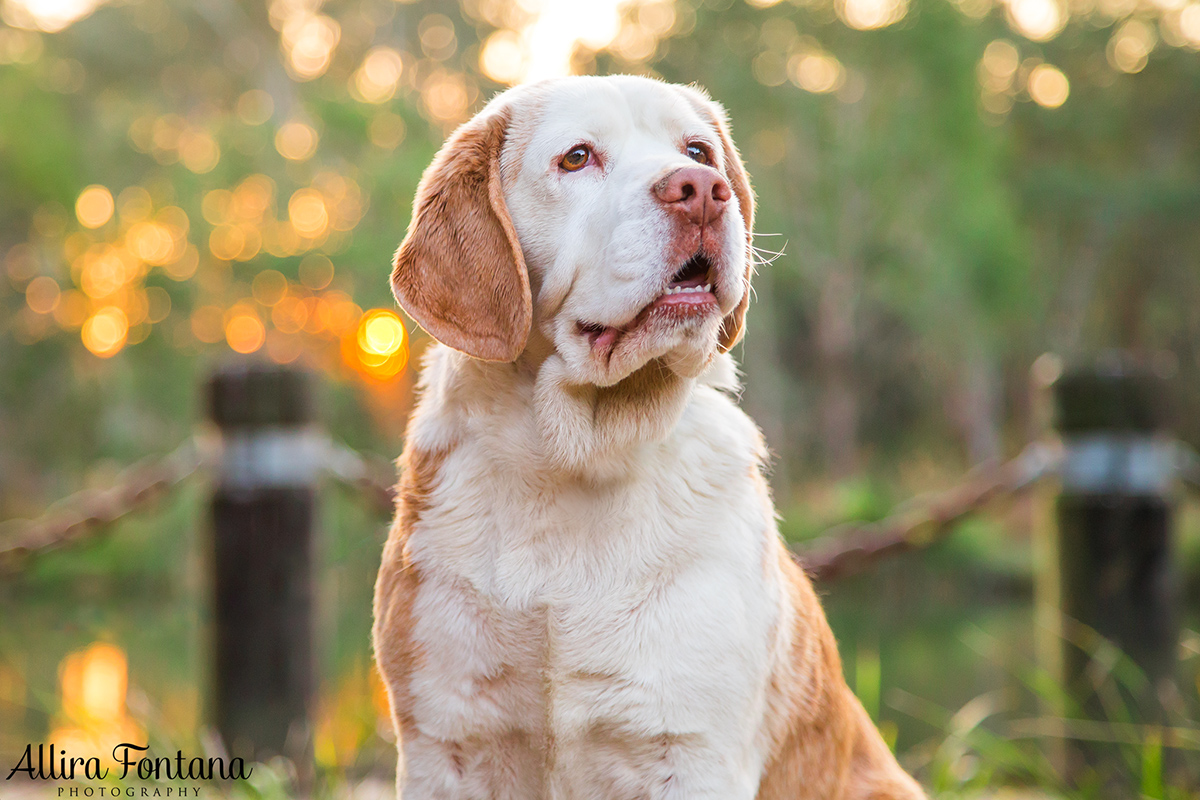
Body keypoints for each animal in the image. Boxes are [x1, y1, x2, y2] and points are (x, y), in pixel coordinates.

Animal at [369, 76, 921, 800]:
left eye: (698, 151)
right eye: (577, 158)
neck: (572, 462)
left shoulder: (692, 750)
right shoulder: (444, 744)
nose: (701, 189)